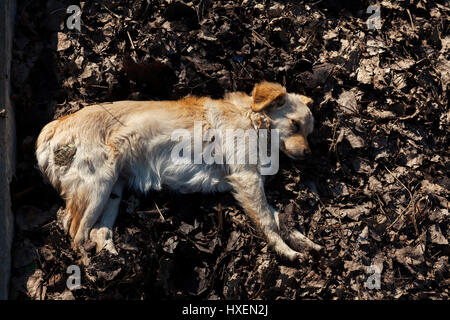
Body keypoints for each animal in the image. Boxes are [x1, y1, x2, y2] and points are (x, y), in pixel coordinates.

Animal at [36, 81, 324, 264]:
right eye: (294, 124)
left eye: (310, 133)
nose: (309, 154)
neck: (250, 116)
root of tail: (55, 125)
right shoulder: (246, 177)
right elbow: (268, 221)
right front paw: (285, 251)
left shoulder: (248, 181)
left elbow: (280, 219)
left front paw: (304, 242)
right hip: (97, 185)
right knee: (76, 234)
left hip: (113, 191)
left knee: (99, 233)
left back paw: (114, 264)